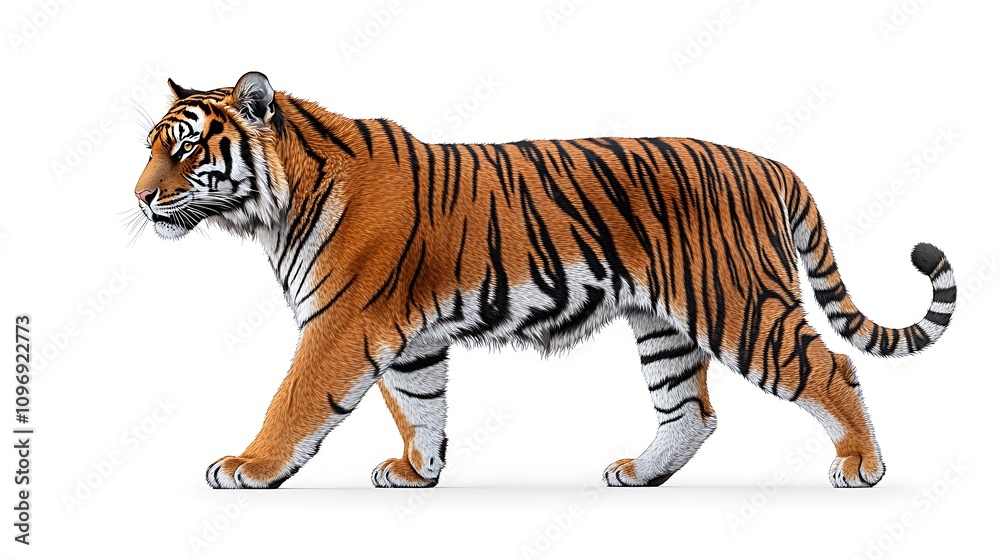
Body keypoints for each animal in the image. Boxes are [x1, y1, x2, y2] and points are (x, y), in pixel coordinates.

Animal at [132, 71, 955, 489]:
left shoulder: (342, 323)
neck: (275, 207)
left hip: (740, 305)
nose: (139, 198)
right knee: (691, 411)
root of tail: (768, 163)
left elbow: (296, 400)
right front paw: (418, 471)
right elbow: (418, 405)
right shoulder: (407, 337)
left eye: (185, 150)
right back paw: (641, 473)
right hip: (665, 325)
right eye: (150, 146)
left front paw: (249, 466)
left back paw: (863, 467)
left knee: (831, 367)